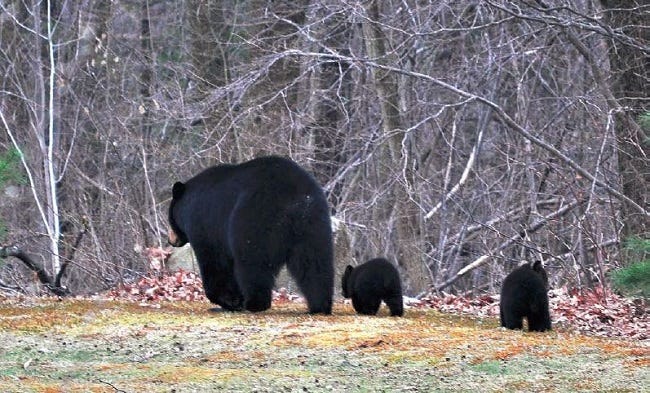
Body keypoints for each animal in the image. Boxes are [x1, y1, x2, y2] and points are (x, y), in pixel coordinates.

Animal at [167, 155, 332, 314]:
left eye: (170, 218)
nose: (170, 240)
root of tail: (294, 200)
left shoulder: (205, 225)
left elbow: (215, 261)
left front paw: (229, 301)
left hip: (253, 219)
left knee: (253, 263)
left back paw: (254, 304)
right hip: (314, 225)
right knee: (314, 263)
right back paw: (320, 306)